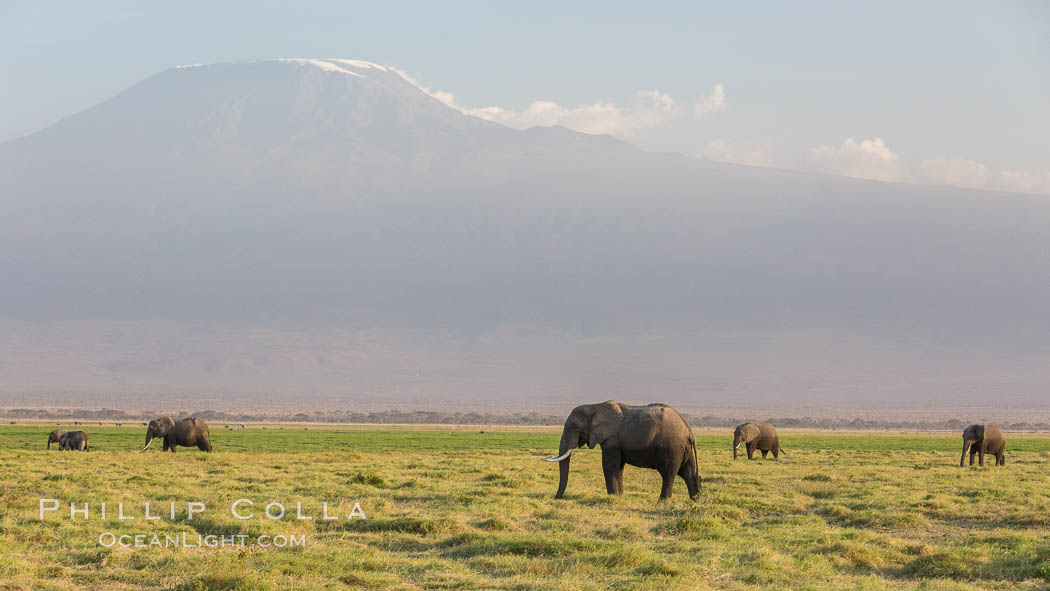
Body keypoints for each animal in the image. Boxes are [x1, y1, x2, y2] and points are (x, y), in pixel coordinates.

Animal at [546, 403, 701, 499]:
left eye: (574, 426)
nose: (556, 498)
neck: (594, 406)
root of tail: (689, 431)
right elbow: (619, 467)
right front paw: (619, 497)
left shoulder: (612, 439)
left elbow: (609, 466)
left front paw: (613, 497)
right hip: (683, 448)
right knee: (688, 472)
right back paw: (695, 501)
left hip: (672, 448)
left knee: (668, 475)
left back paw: (662, 502)